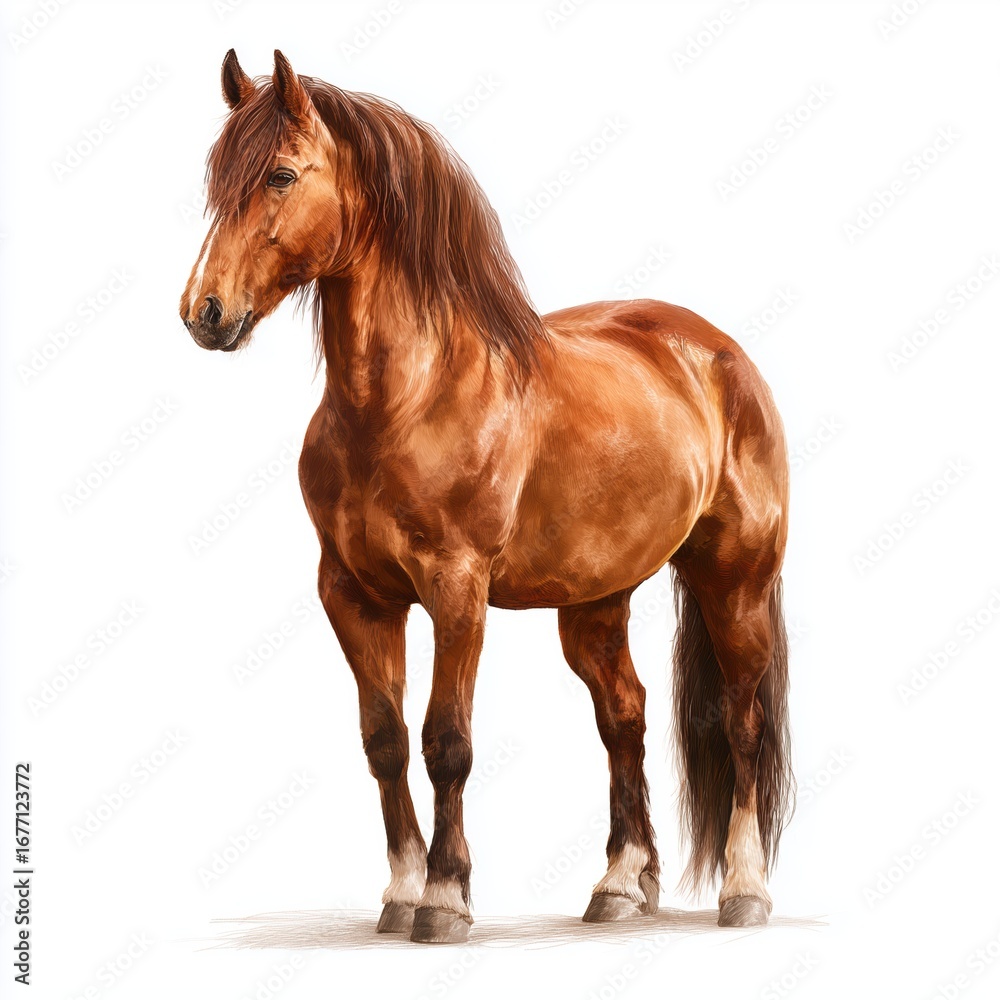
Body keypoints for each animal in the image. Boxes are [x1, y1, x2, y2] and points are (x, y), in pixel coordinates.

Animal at [180, 50, 793, 945]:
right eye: (215, 176)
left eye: (282, 175)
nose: (205, 312)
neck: (406, 399)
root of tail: (720, 353)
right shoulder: (353, 594)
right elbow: (384, 741)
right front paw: (400, 893)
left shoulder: (456, 589)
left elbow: (447, 741)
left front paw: (444, 900)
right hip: (595, 603)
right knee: (626, 718)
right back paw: (620, 886)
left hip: (735, 581)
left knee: (743, 721)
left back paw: (744, 893)